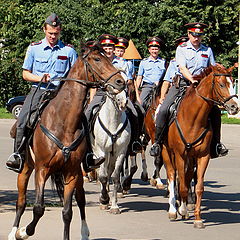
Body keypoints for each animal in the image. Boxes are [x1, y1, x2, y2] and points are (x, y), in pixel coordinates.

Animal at [7, 43, 124, 240]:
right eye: (97, 59)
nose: (120, 82)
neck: (63, 122)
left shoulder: (72, 172)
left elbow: (68, 211)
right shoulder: (41, 170)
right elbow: (38, 208)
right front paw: (23, 231)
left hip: (78, 174)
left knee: (81, 200)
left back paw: (85, 232)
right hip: (25, 169)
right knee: (21, 201)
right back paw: (13, 231)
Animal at [163, 63, 238, 229]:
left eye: (232, 83)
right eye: (222, 84)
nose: (234, 107)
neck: (194, 119)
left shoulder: (203, 156)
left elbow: (198, 186)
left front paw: (197, 218)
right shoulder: (180, 155)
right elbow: (182, 185)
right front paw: (182, 210)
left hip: (191, 158)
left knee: (187, 175)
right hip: (166, 151)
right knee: (172, 175)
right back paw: (173, 210)